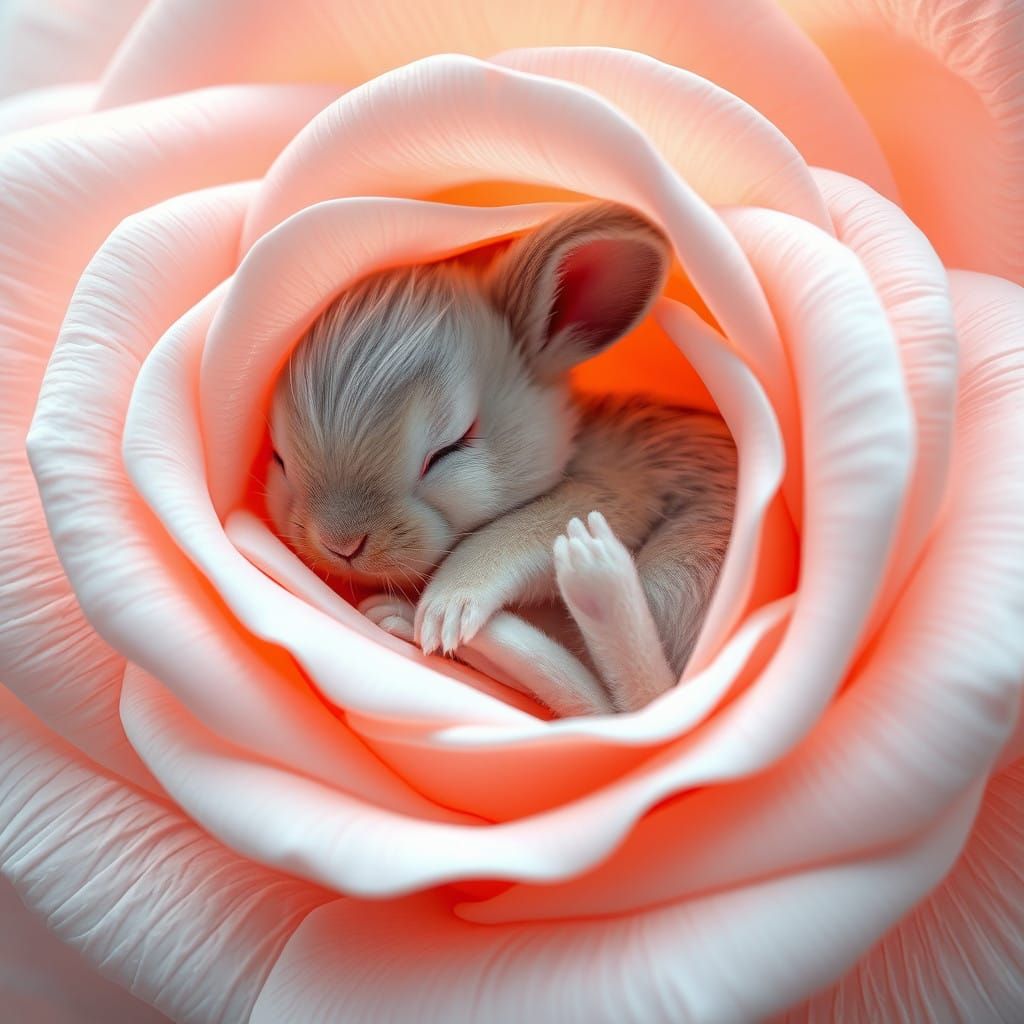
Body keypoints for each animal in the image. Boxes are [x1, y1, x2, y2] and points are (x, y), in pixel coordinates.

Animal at [266, 201, 737, 715]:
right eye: (279, 458)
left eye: (451, 446)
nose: (342, 544)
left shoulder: (618, 488)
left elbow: (515, 533)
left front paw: (447, 603)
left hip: (670, 572)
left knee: (643, 701)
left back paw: (592, 578)